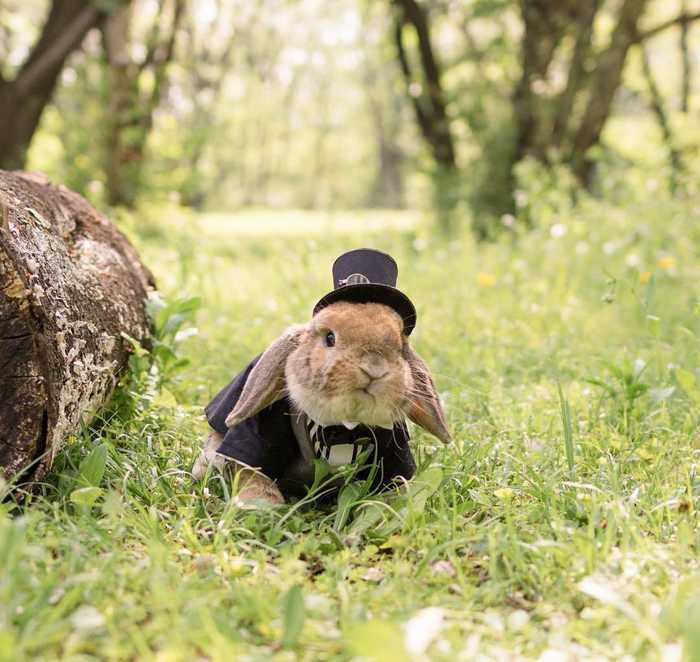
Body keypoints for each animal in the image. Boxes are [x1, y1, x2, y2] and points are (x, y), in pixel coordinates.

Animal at [194, 249, 452, 508]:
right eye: (330, 337)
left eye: (401, 347)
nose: (374, 368)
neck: (343, 425)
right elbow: (252, 471)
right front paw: (260, 505)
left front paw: (392, 507)